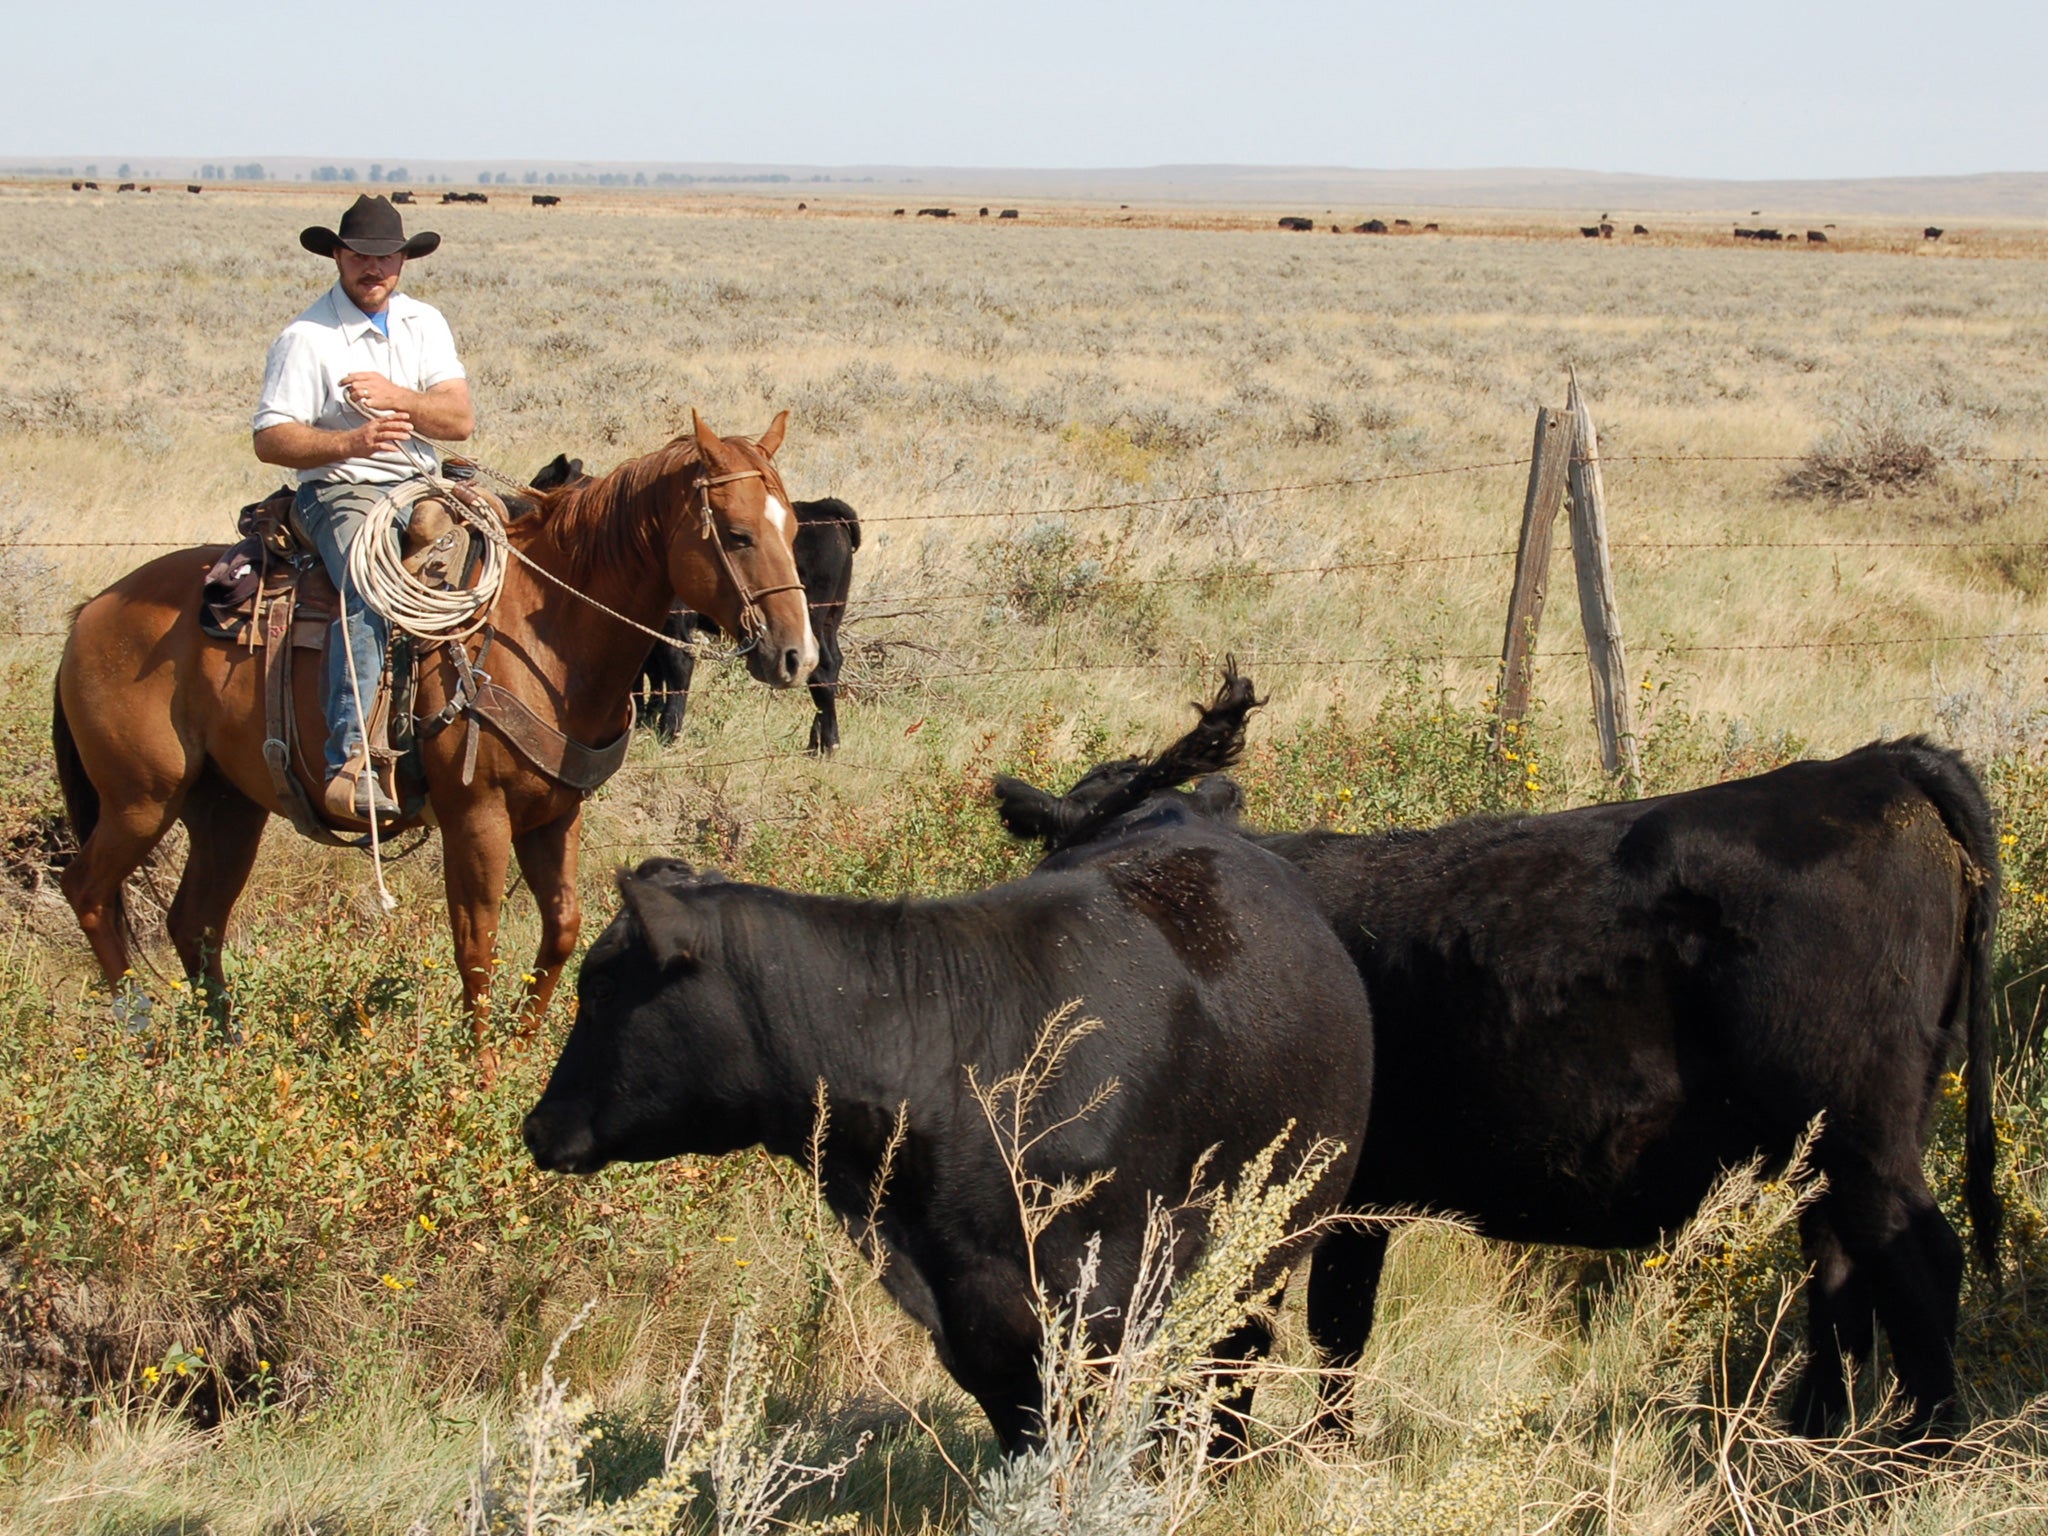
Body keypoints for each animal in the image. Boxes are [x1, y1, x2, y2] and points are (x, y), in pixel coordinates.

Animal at [54, 409, 815, 1040]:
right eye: (738, 535)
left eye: (794, 530)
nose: (795, 655)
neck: (545, 636)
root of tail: (90, 612)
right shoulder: (475, 815)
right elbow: (477, 945)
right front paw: (476, 1076)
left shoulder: (555, 813)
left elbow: (562, 928)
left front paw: (521, 1044)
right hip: (141, 798)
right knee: (89, 892)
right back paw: (142, 1036)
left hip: (227, 807)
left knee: (195, 921)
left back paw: (223, 1054)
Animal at [524, 819, 1376, 1458]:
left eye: (601, 986)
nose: (537, 1125)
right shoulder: (977, 1322)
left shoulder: (1101, 1308)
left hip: (1269, 1244)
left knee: (1231, 1364)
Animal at [999, 671, 2007, 1441]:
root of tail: (1876, 764)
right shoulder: (1366, 1201)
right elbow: (1339, 1333)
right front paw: (1327, 1450)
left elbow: (1266, 1335)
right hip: (1833, 1146)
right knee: (1839, 1279)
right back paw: (1808, 1442)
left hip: (1863, 1133)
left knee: (1919, 1268)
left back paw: (1917, 1462)